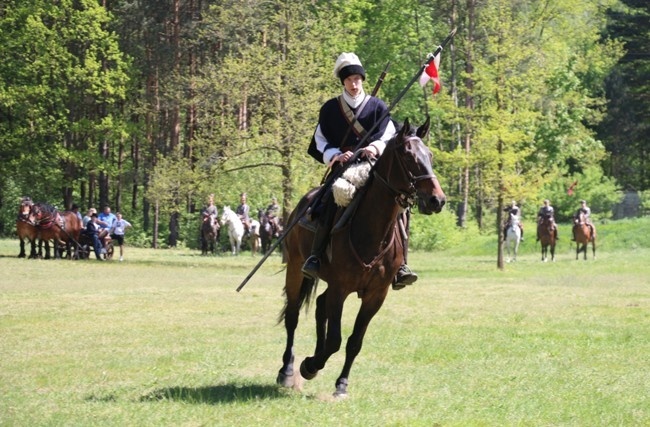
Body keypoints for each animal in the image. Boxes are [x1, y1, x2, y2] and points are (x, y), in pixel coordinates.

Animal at [274, 118, 446, 400]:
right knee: (293, 316)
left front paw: (340, 383)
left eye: (429, 156)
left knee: (319, 306)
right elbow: (335, 339)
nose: (437, 200)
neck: (371, 231)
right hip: (296, 271)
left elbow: (355, 341)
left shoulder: (376, 294)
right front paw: (310, 366)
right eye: (408, 156)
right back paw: (287, 371)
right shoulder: (340, 289)